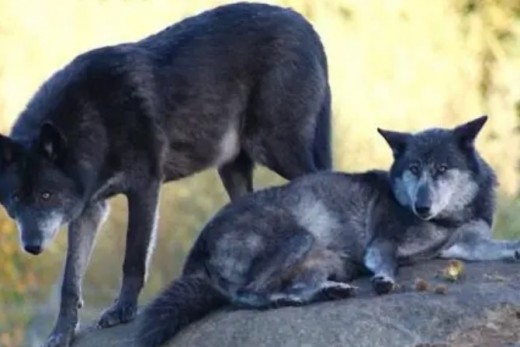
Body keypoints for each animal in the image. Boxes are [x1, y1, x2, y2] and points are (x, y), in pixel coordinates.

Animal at [0, 3, 332, 347]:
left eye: (45, 195)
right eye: (15, 199)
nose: (32, 246)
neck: (95, 116)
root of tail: (304, 24)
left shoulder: (144, 187)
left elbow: (133, 257)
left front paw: (123, 310)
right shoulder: (89, 210)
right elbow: (70, 280)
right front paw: (61, 332)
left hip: (274, 146)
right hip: (233, 169)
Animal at [137, 117, 520, 347]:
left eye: (441, 169)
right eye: (413, 169)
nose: (421, 207)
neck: (450, 218)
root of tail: (197, 251)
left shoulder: (465, 245)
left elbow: (501, 246)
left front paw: (515, 249)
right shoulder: (382, 242)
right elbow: (387, 262)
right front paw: (384, 280)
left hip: (324, 263)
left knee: (294, 287)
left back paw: (327, 292)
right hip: (299, 238)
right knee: (245, 294)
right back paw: (282, 300)